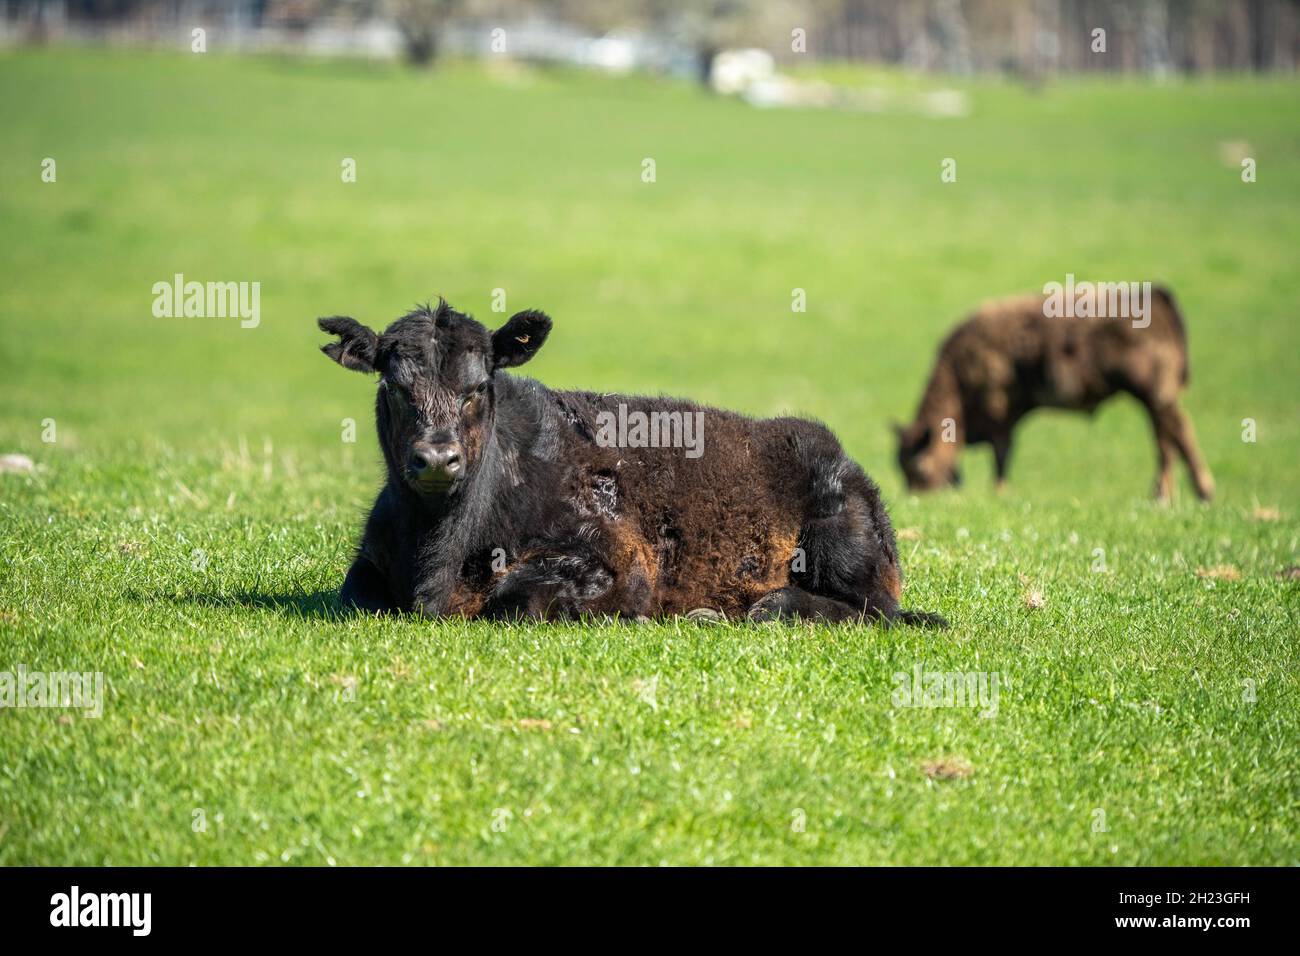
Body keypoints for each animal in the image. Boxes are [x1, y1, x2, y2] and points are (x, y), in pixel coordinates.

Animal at [314, 299, 946, 629]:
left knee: (875, 610)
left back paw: (756, 607)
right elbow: (355, 593)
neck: (439, 552)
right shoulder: (370, 564)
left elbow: (516, 598)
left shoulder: (615, 559)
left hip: (842, 547)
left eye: (477, 388)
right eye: (395, 387)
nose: (436, 458)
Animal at [889, 283, 1211, 502]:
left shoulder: (1001, 417)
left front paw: (1000, 490)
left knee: (1176, 434)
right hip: (1153, 401)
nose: (918, 496)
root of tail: (1159, 296)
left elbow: (1002, 456)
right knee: (1166, 439)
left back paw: (1192, 492)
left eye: (919, 468)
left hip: (1155, 397)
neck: (960, 371)